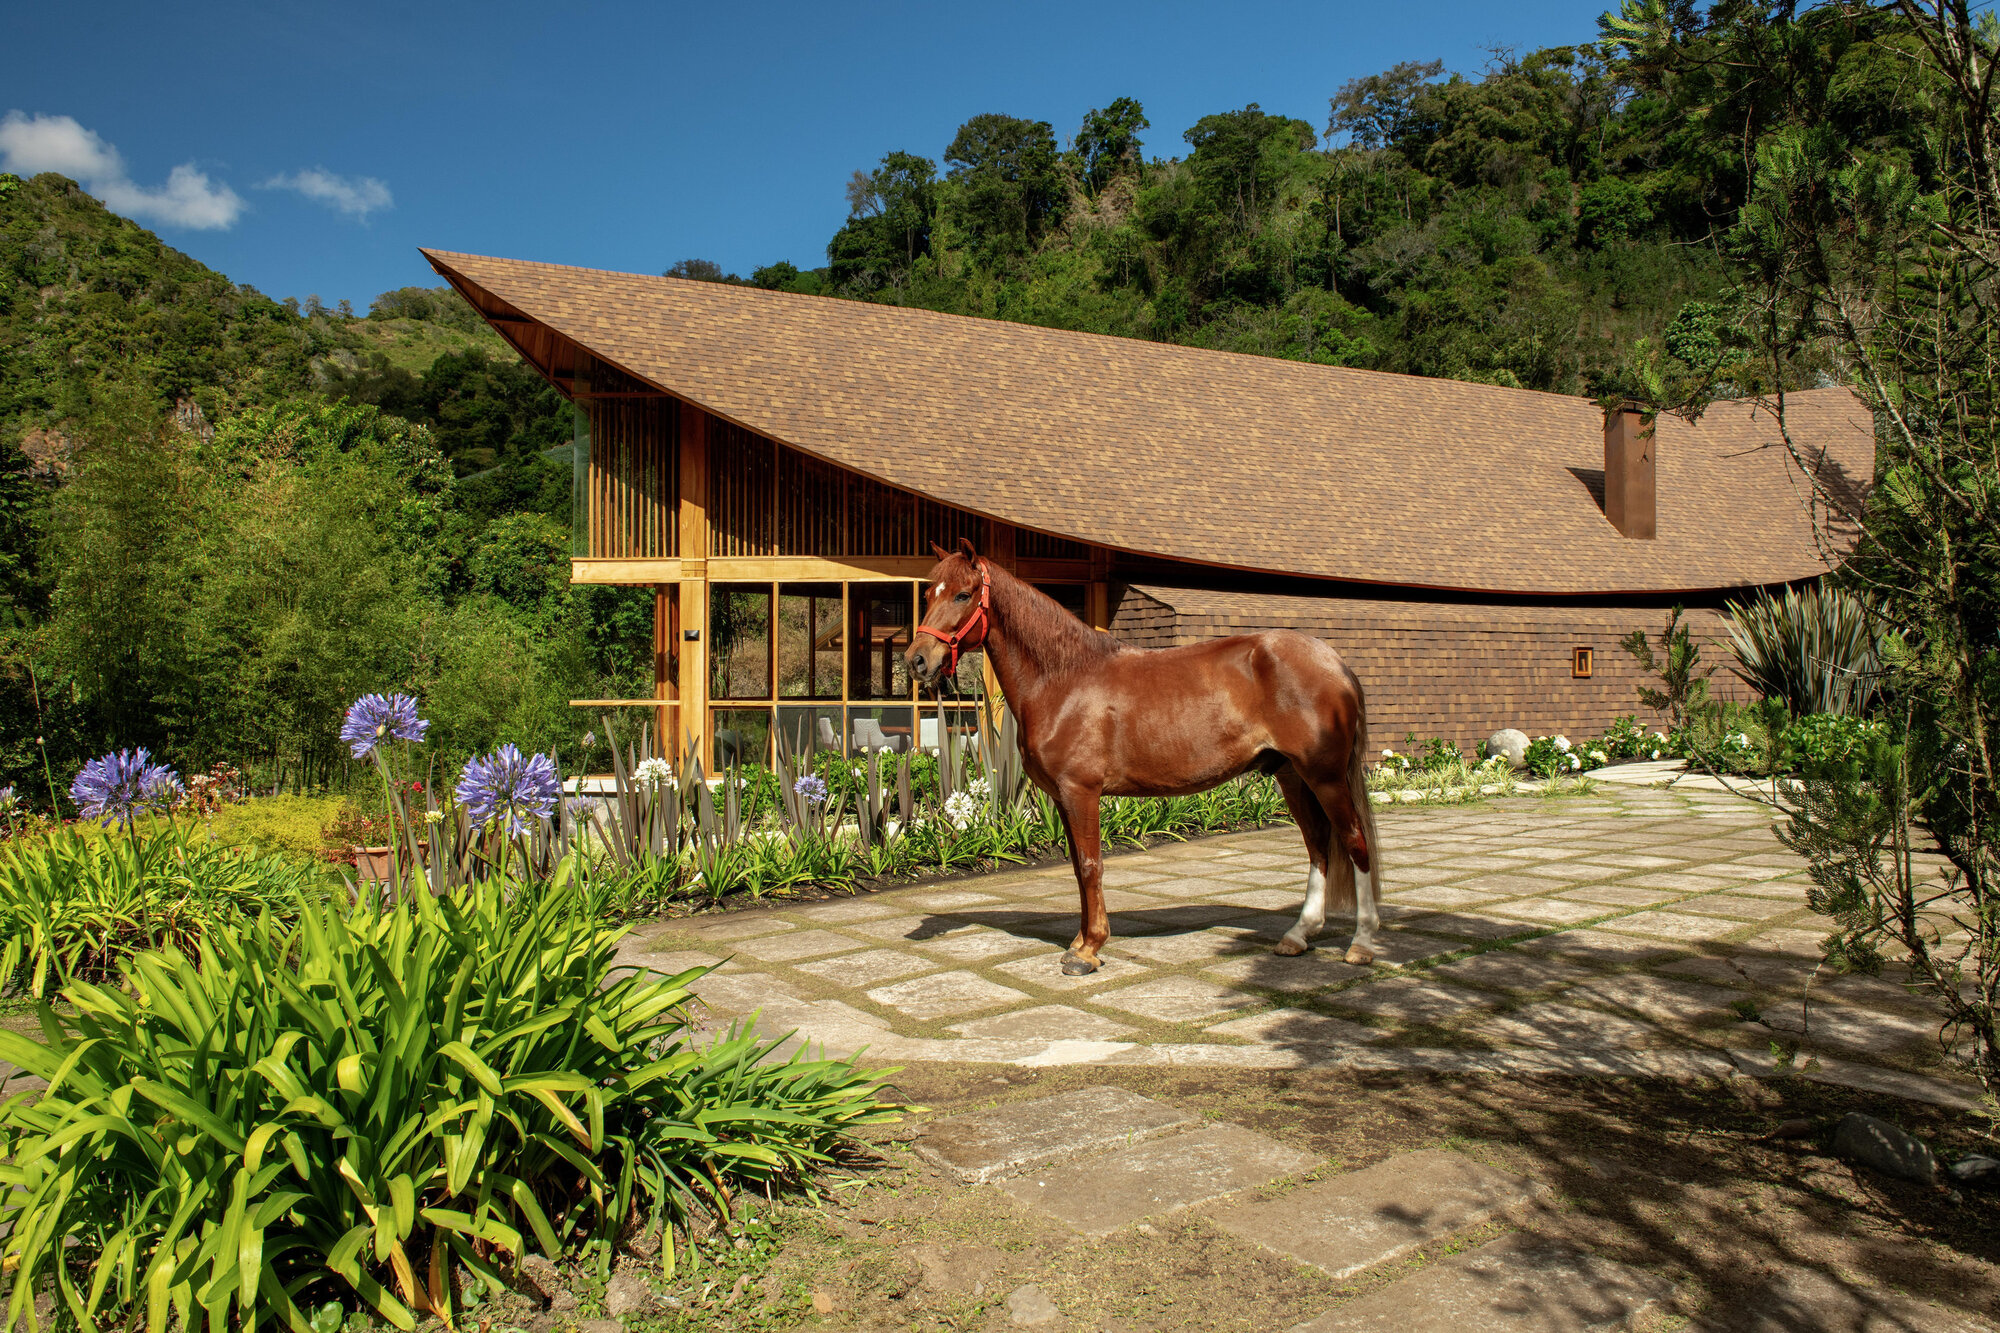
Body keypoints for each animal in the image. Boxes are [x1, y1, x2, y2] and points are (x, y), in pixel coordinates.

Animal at [905, 539, 1382, 977]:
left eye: (963, 594)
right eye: (928, 594)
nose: (916, 661)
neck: (1064, 678)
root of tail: (1334, 661)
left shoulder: (1081, 792)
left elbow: (1091, 866)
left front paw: (1088, 950)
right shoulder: (1062, 797)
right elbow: (1077, 868)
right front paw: (1081, 940)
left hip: (1325, 776)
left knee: (1354, 842)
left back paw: (1361, 943)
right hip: (1291, 775)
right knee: (1318, 844)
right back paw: (1297, 936)